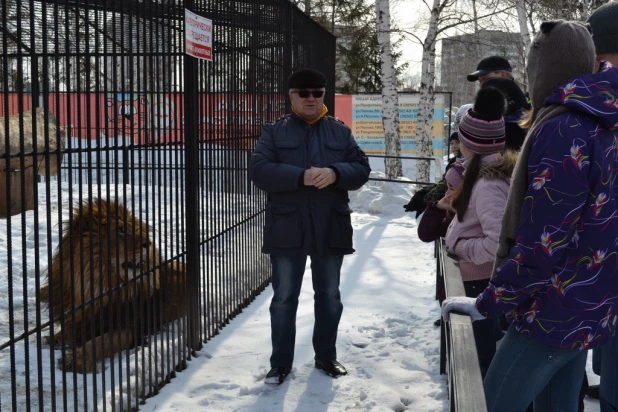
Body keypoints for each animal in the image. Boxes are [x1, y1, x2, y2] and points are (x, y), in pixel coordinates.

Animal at [39, 198, 186, 374]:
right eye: (121, 230)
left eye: (135, 229)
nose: (149, 243)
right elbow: (67, 330)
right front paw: (50, 339)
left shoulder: (130, 327)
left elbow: (100, 341)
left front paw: (75, 359)